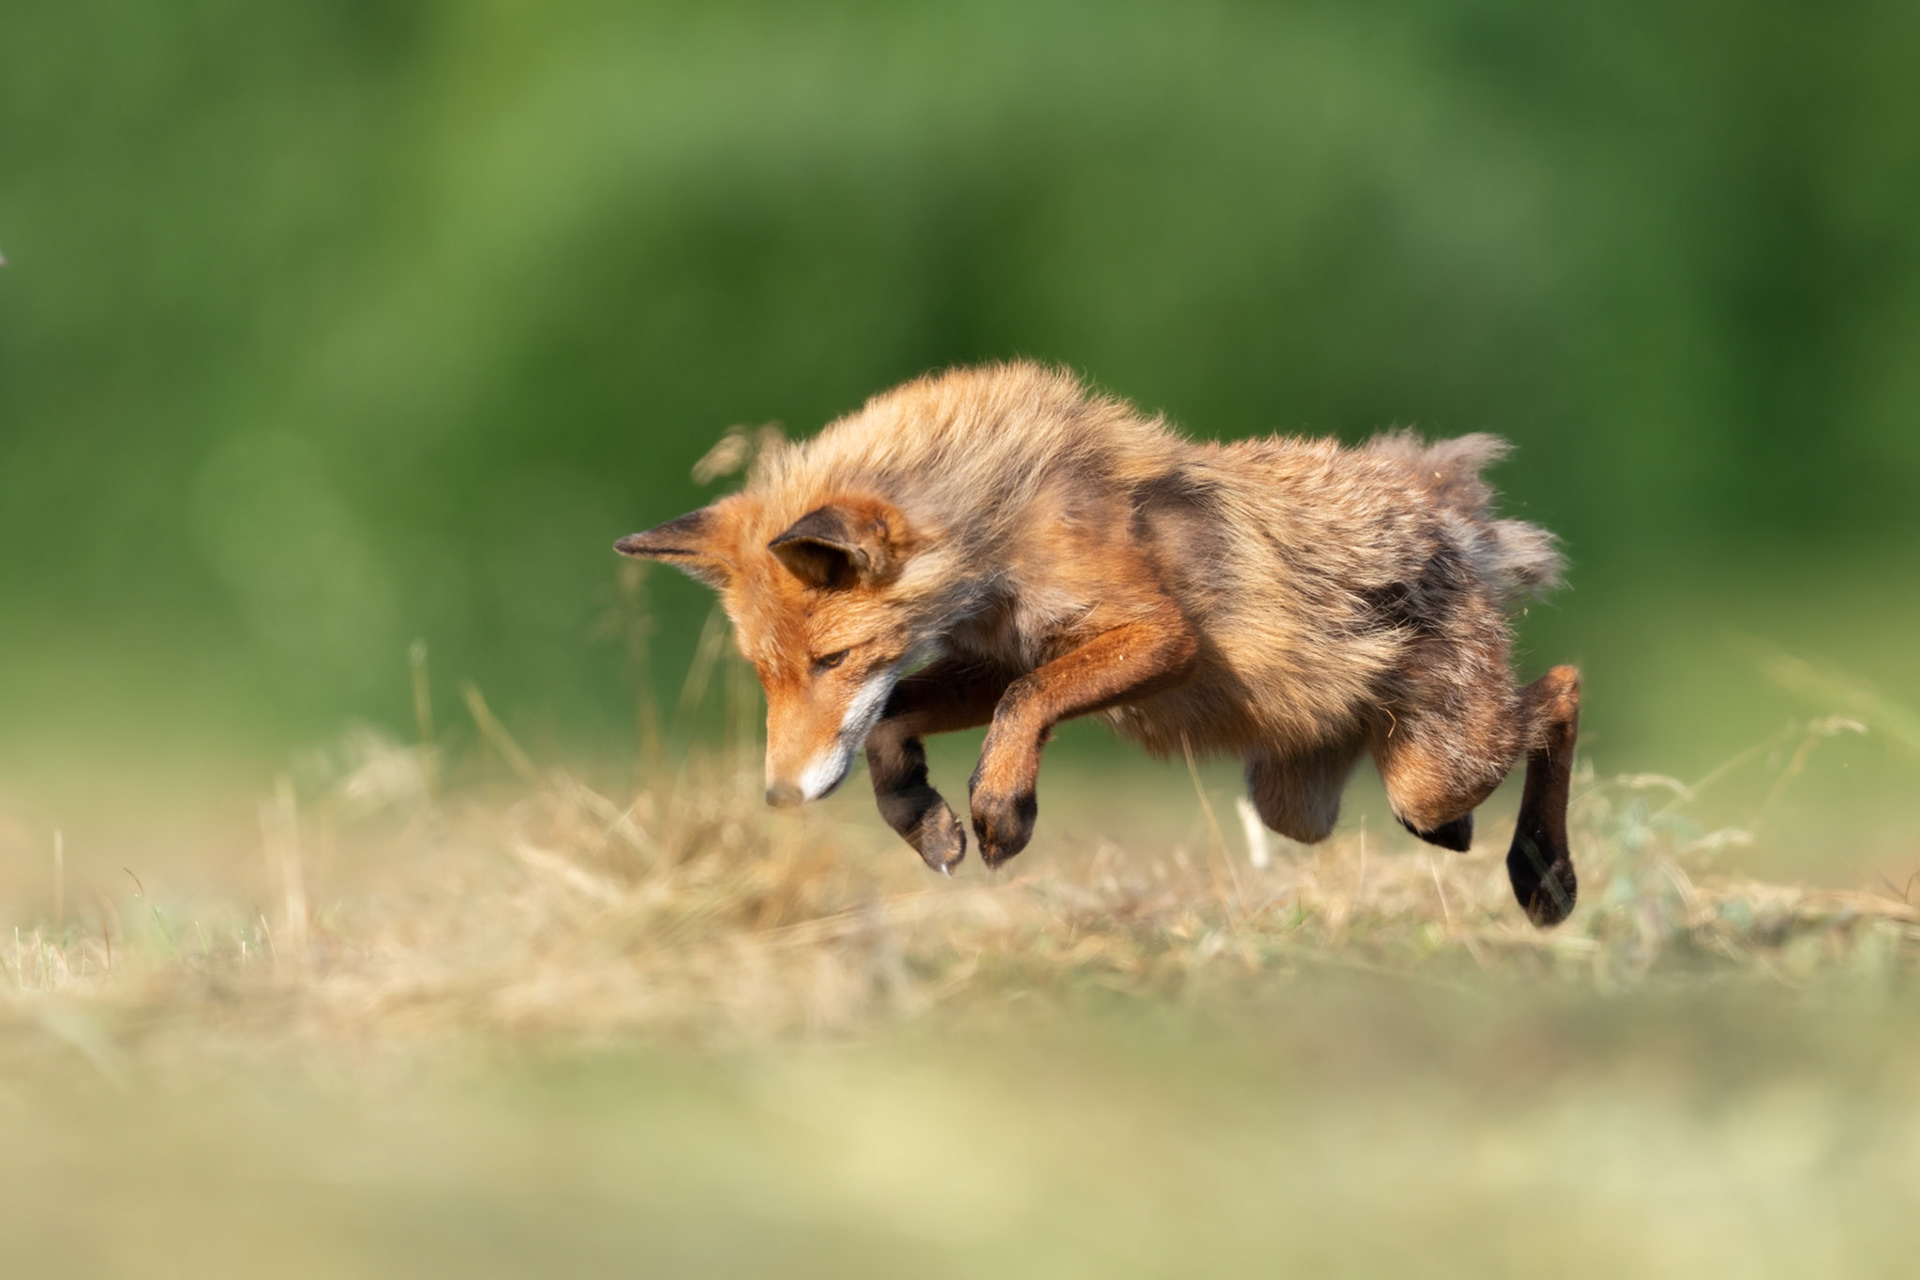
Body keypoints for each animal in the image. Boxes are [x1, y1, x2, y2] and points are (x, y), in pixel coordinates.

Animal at [617, 362, 1581, 926]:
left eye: (833, 662)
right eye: (765, 675)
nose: (779, 796)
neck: (1003, 524)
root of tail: (1439, 502)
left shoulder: (1162, 638)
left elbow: (1027, 704)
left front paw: (1002, 805)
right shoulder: (997, 653)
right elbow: (898, 725)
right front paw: (924, 819)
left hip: (1428, 769)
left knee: (1562, 690)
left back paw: (1544, 872)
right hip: (1298, 800)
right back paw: (1486, 844)